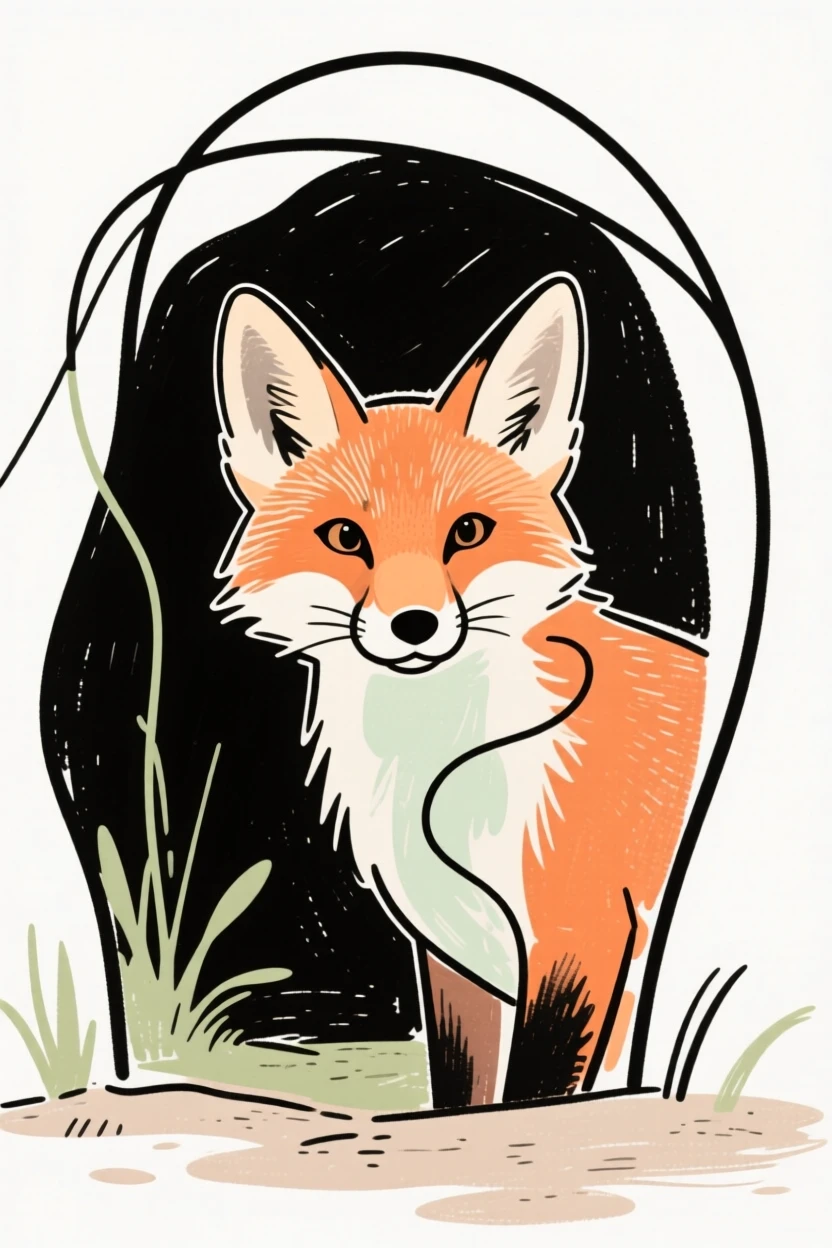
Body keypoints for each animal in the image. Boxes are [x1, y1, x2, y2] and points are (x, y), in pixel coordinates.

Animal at [211, 274, 706, 1107]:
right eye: (346, 538)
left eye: (468, 532)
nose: (413, 625)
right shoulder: (455, 959)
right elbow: (464, 1093)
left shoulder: (580, 939)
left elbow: (537, 1095)